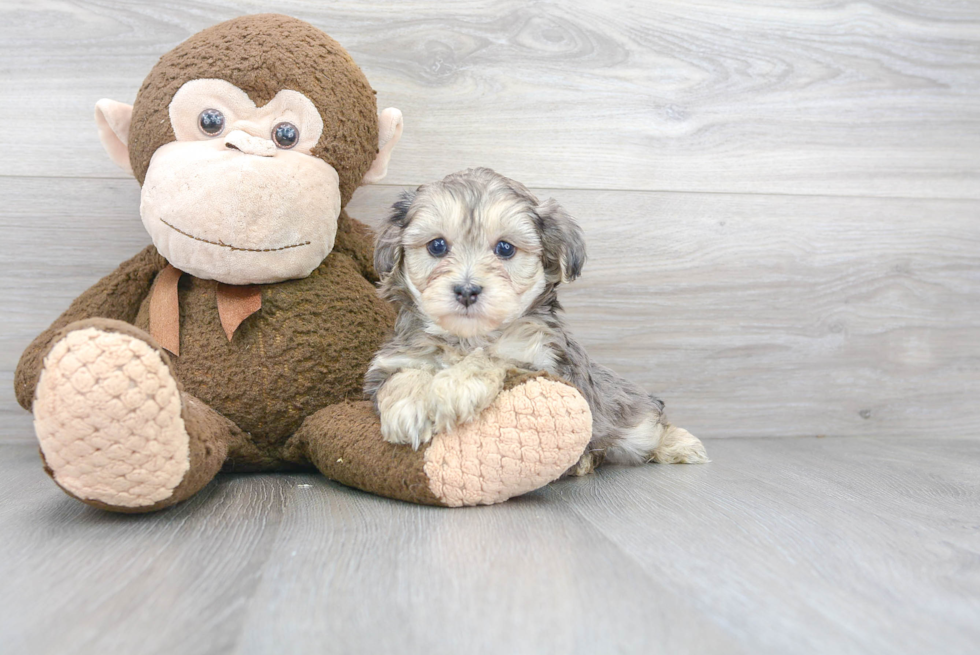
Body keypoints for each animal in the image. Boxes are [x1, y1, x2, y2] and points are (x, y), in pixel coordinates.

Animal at [362, 167, 704, 474]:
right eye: (437, 246)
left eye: (505, 248)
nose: (467, 290)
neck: (470, 338)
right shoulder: (396, 359)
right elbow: (401, 376)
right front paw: (408, 408)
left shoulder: (545, 363)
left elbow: (494, 359)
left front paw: (456, 387)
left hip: (627, 417)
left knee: (649, 426)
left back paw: (681, 444)